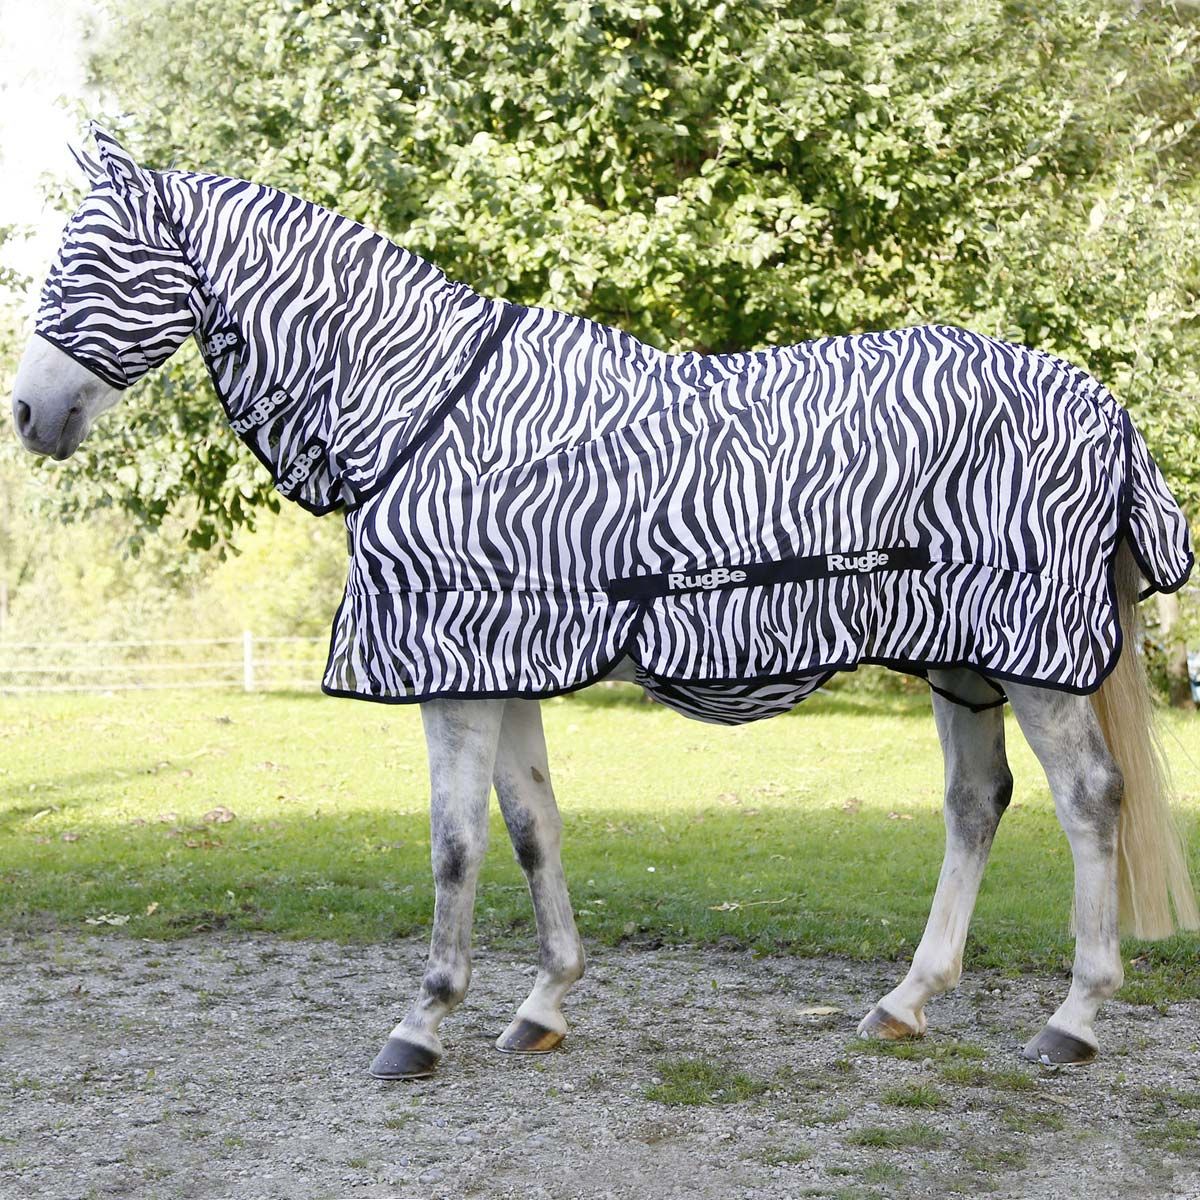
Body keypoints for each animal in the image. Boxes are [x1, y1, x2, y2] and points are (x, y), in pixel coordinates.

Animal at [12, 125, 1198, 1078]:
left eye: (89, 261)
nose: (28, 414)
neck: (423, 407)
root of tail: (1102, 402)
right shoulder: (500, 660)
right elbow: (533, 827)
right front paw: (543, 1005)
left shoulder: (455, 669)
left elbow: (455, 843)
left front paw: (421, 1025)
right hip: (965, 658)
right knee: (976, 802)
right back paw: (907, 1002)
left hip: (1032, 657)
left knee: (1089, 800)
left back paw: (1074, 1019)